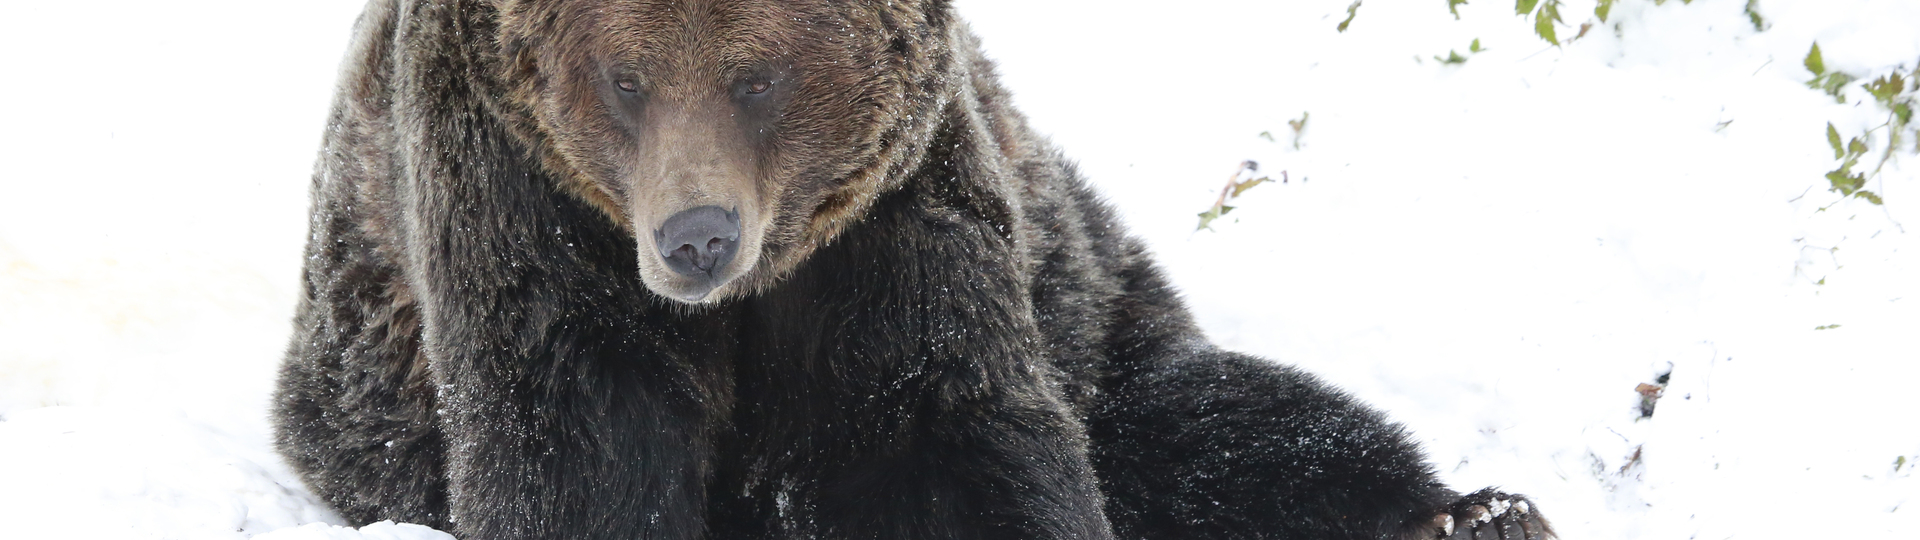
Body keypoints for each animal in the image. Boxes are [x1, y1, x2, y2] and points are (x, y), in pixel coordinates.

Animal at [274, 1, 1559, 538]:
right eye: (624, 79)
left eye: (758, 77)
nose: (697, 237)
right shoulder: (520, 200)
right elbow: (576, 440)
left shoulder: (887, 224)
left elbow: (935, 427)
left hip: (1082, 291)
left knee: (1225, 424)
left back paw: (1475, 515)